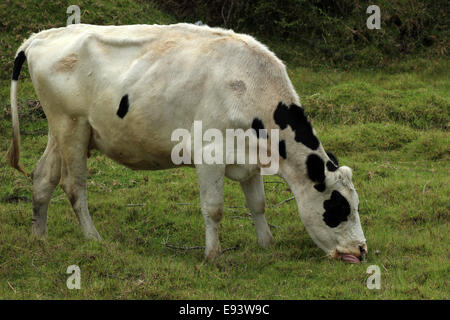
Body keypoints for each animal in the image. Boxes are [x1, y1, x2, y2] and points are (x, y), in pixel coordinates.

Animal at [5, 23, 368, 264]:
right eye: (339, 208)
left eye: (356, 203)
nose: (362, 250)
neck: (249, 86)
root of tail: (41, 36)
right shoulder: (210, 156)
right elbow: (214, 208)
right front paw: (212, 256)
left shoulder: (248, 160)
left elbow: (258, 205)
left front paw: (267, 244)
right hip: (72, 127)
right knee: (74, 186)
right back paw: (94, 239)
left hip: (60, 129)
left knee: (43, 177)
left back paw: (40, 237)